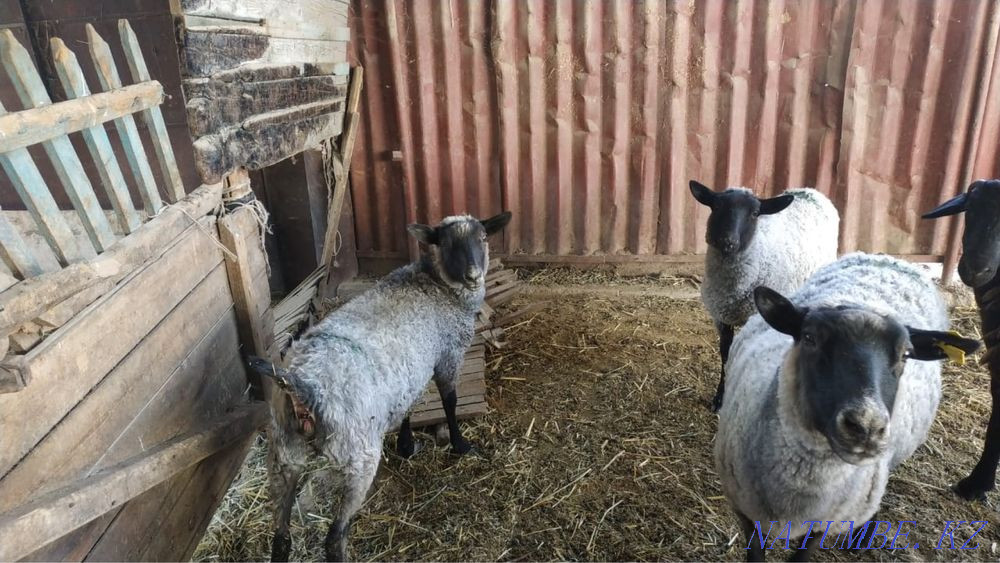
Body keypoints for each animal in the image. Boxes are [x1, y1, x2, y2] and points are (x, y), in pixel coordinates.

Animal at [248, 211, 512, 562]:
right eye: (446, 243)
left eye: (482, 237)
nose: (473, 276)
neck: (437, 287)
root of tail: (300, 387)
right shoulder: (448, 355)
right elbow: (449, 400)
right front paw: (460, 445)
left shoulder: (409, 371)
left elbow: (409, 407)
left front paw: (406, 445)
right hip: (357, 458)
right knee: (335, 537)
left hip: (282, 459)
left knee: (281, 538)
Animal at [689, 181, 839, 411]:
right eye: (716, 206)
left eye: (755, 213)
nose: (728, 242)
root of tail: (808, 190)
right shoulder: (721, 317)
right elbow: (726, 354)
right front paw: (719, 397)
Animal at [714, 253, 979, 562]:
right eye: (809, 338)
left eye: (906, 354)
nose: (866, 427)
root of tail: (887, 258)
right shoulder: (745, 509)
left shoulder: (824, 524)